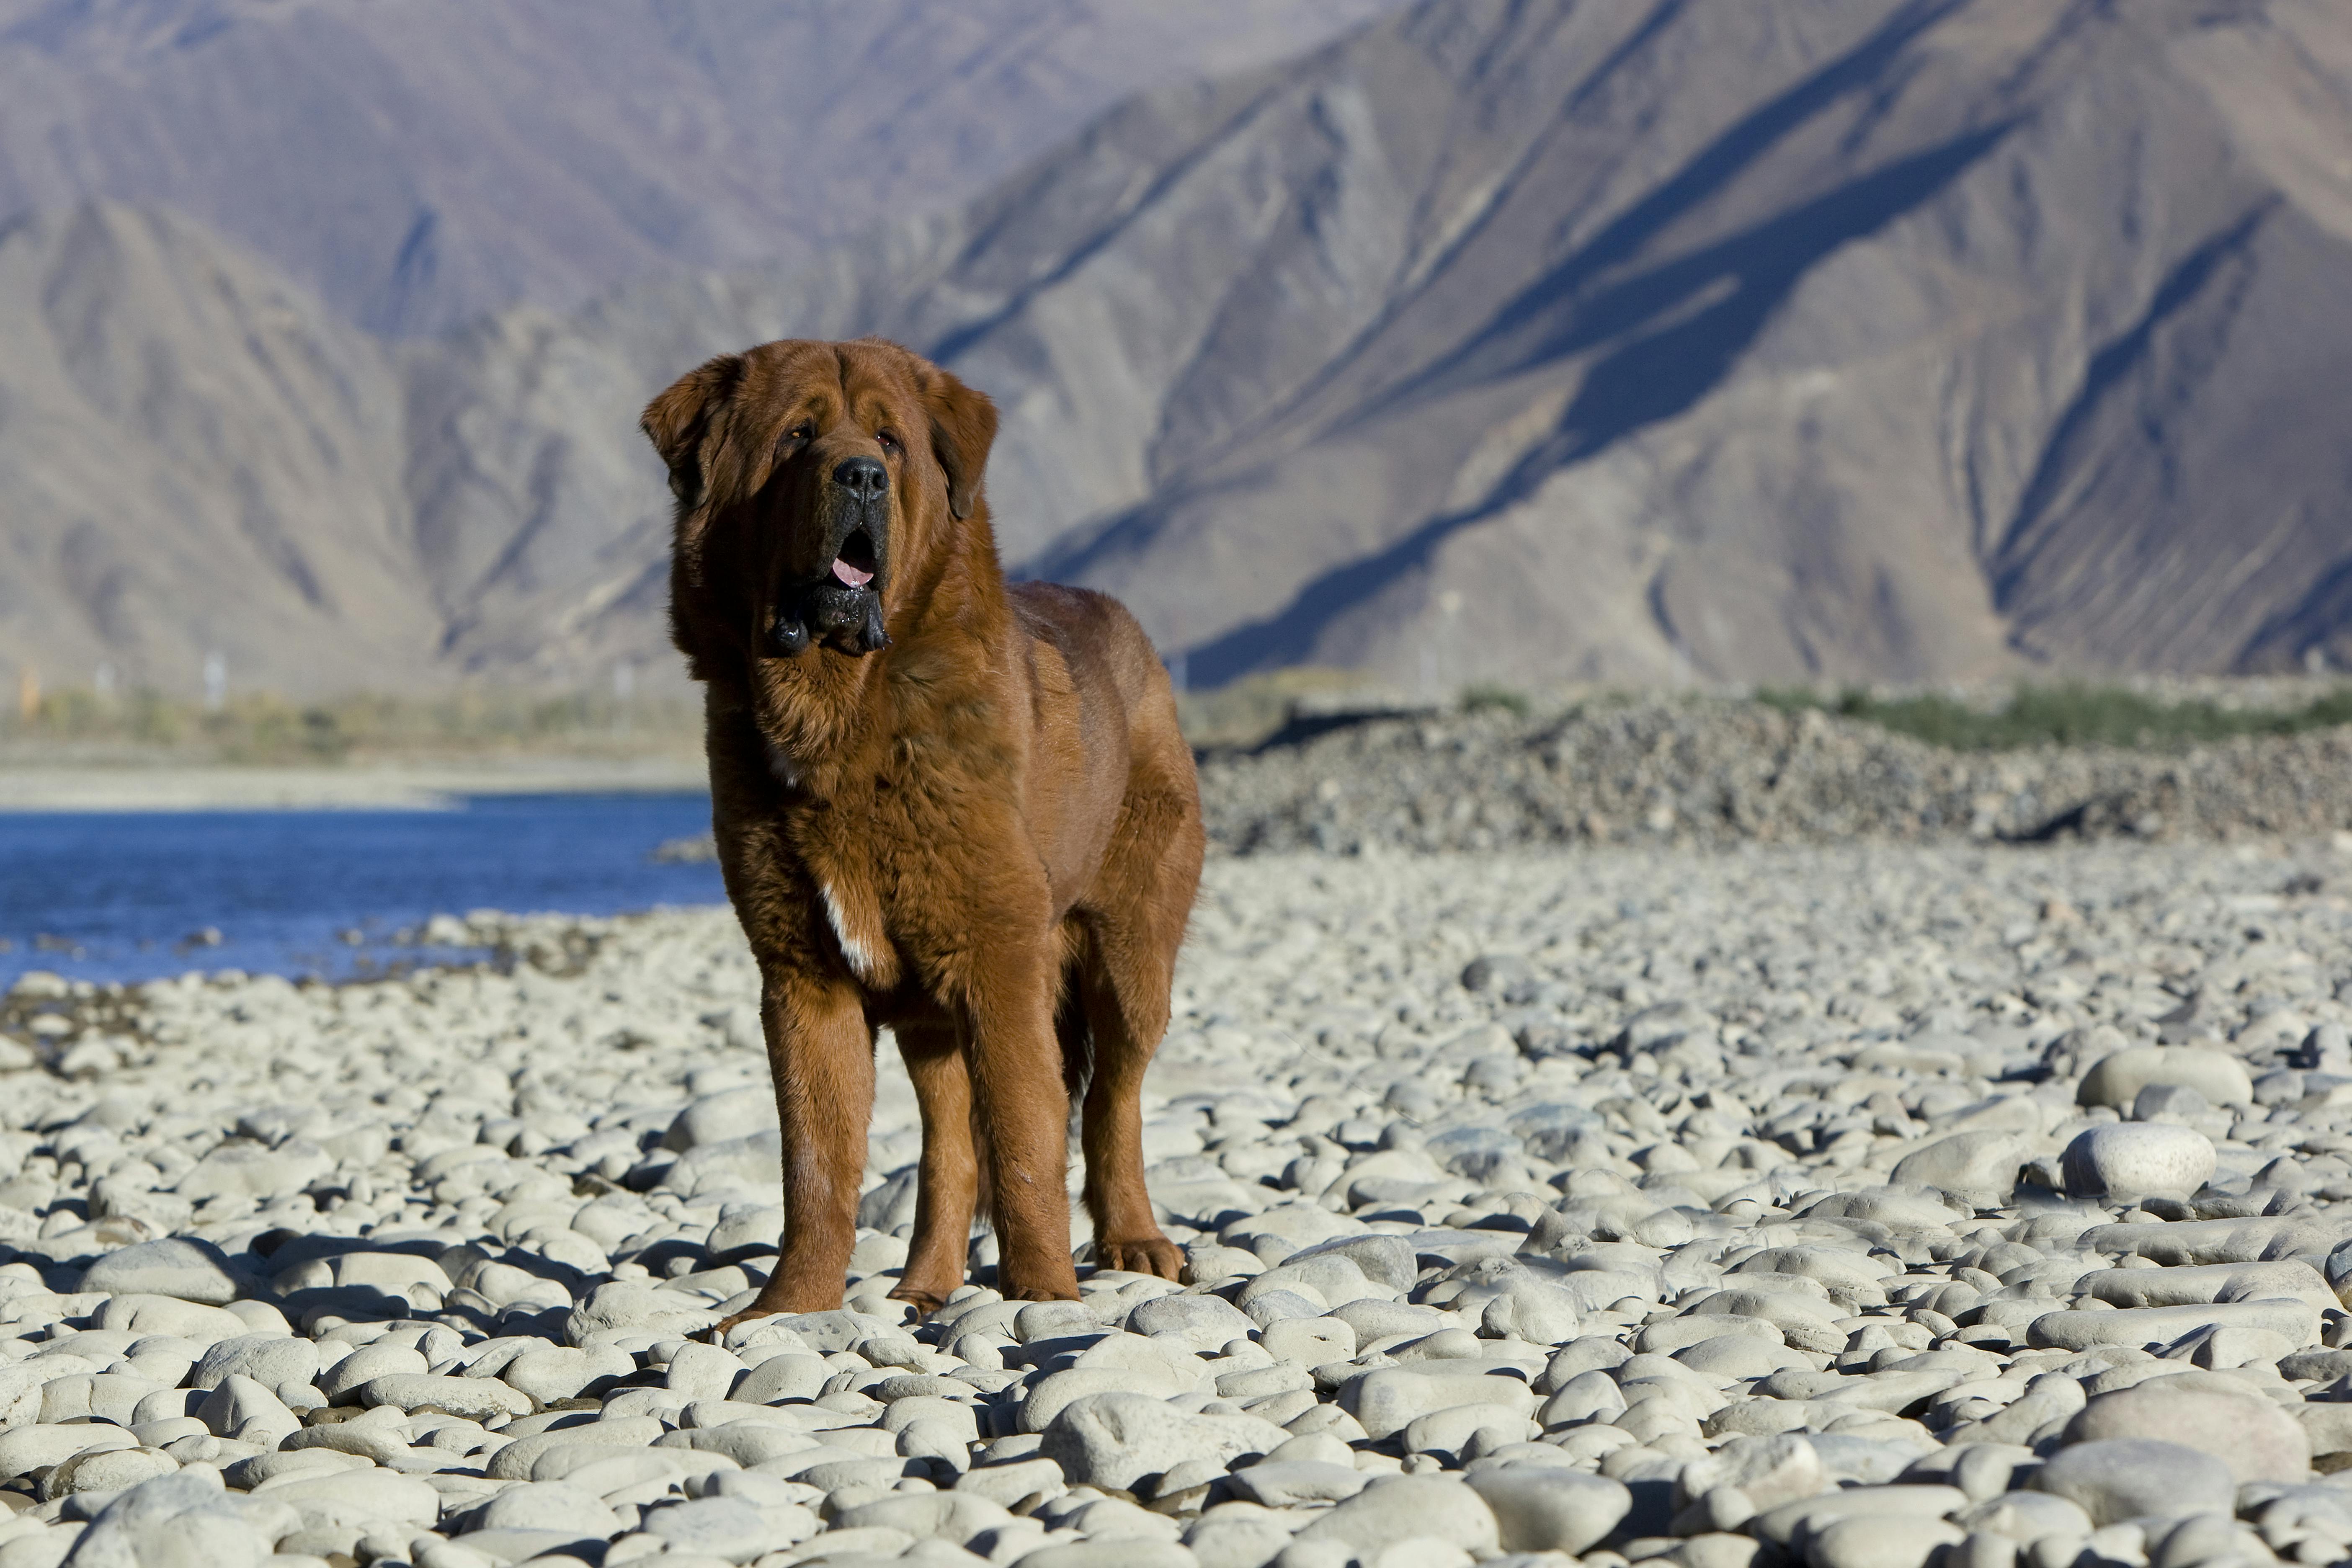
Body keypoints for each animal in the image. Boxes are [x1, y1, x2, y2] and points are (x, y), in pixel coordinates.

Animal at [640, 338, 1204, 1316]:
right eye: (798, 437)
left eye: (890, 443)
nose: (861, 475)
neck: (840, 719)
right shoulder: (804, 978)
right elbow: (817, 1161)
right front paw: (788, 1308)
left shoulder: (1000, 959)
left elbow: (1024, 1137)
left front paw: (1045, 1298)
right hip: (930, 1014)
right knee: (949, 1146)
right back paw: (926, 1287)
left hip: (1131, 956)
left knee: (1112, 1102)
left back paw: (1135, 1242)